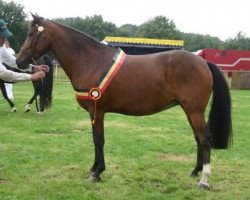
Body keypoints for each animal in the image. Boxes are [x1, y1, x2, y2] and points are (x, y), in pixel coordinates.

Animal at [15, 14, 231, 189]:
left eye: (31, 34)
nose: (19, 61)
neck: (90, 61)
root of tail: (203, 62)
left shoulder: (97, 110)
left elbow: (99, 140)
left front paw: (97, 172)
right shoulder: (94, 112)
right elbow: (95, 139)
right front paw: (94, 168)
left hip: (194, 110)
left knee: (205, 139)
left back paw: (204, 180)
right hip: (190, 110)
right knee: (198, 138)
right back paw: (195, 172)